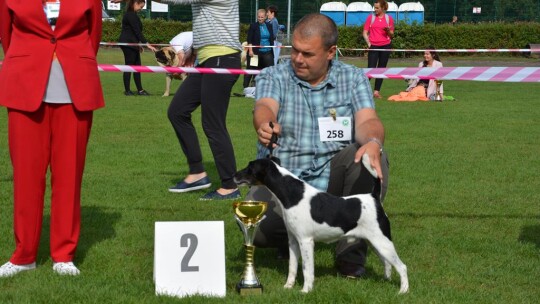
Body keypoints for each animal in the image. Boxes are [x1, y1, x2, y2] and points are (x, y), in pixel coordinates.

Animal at [233, 158, 410, 294]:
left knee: (402, 267)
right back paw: (386, 280)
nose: (234, 176)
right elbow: (292, 267)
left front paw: (305, 290)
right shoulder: (293, 241)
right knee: (387, 263)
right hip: (376, 243)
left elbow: (307, 269)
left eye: (250, 168)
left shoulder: (305, 241)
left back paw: (403, 291)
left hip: (382, 242)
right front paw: (288, 287)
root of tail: (374, 198)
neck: (293, 194)